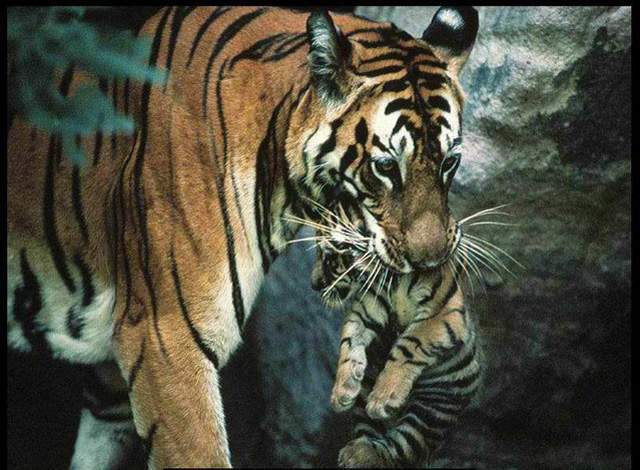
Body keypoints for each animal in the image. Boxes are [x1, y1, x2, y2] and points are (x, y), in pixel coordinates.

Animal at [308, 200, 481, 467]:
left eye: (331, 259)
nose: (314, 284)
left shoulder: (442, 313)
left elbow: (409, 344)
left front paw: (383, 397)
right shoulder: (367, 309)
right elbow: (349, 339)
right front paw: (342, 390)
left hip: (434, 409)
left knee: (403, 447)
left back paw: (365, 451)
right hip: (363, 410)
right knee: (370, 431)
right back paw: (356, 452)